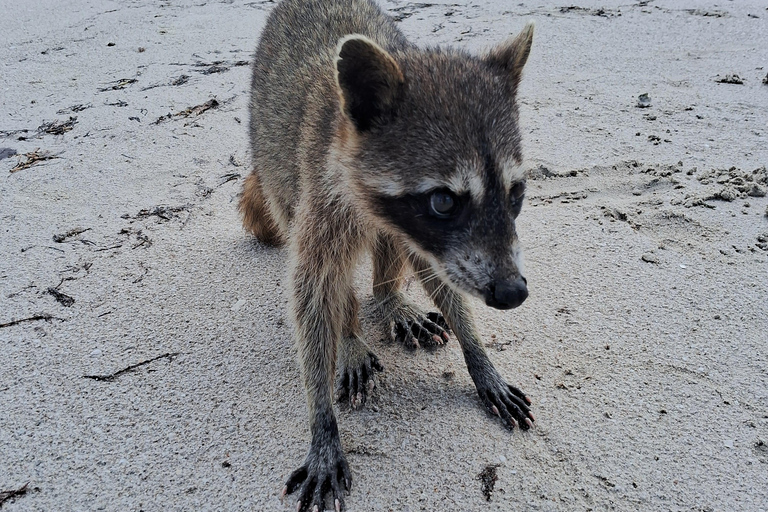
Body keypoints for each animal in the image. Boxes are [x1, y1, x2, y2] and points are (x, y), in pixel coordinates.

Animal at [240, 2, 536, 510]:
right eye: (444, 200)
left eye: (515, 193)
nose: (512, 292)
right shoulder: (322, 196)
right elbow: (311, 292)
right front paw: (321, 417)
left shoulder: (432, 242)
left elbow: (440, 271)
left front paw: (477, 353)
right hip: (276, 166)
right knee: (330, 276)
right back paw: (351, 332)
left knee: (389, 252)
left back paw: (388, 297)